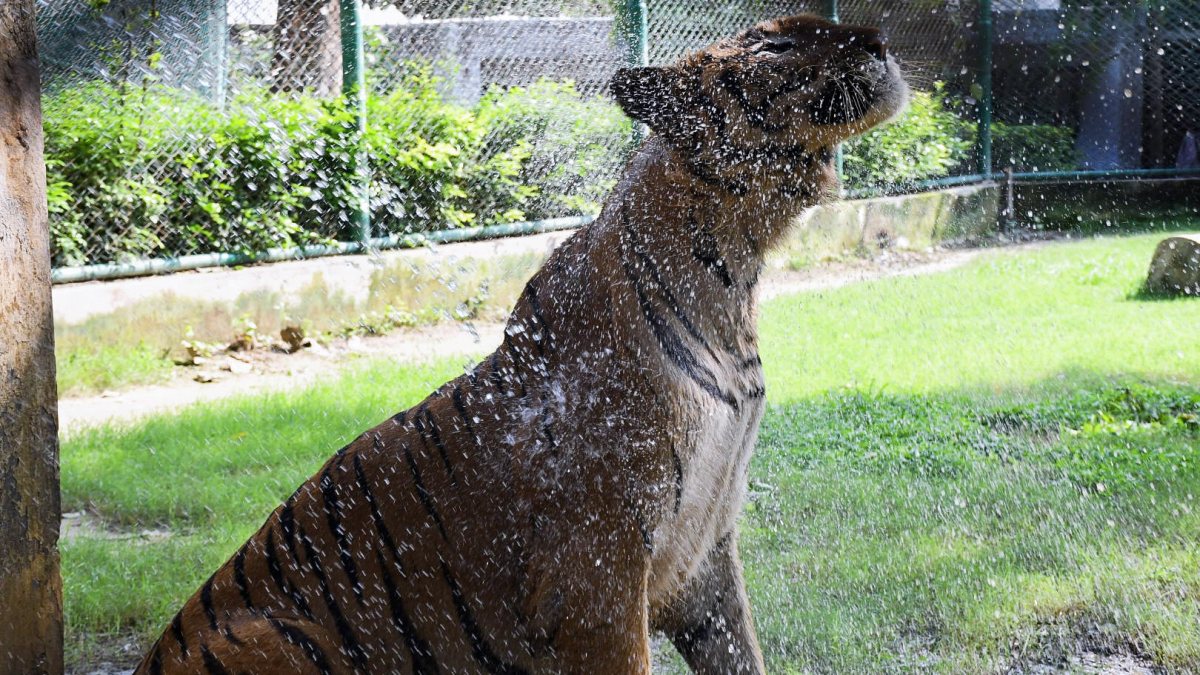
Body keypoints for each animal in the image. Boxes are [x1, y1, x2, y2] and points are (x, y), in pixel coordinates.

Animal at [134, 14, 908, 675]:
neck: (736, 271)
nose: (879, 40)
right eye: (775, 47)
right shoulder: (601, 574)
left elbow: (741, 650)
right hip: (275, 635)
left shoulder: (706, 551)